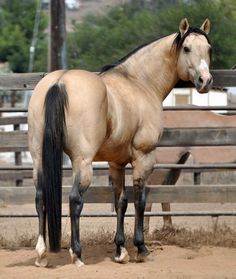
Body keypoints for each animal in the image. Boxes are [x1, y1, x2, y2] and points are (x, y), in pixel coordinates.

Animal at [27, 18, 212, 268]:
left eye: (208, 49)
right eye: (187, 48)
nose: (205, 81)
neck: (139, 82)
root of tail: (59, 82)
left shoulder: (116, 163)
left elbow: (121, 202)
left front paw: (120, 250)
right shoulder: (144, 157)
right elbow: (140, 200)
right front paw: (141, 248)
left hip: (38, 158)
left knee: (40, 197)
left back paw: (41, 254)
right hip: (82, 161)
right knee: (75, 199)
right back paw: (77, 254)